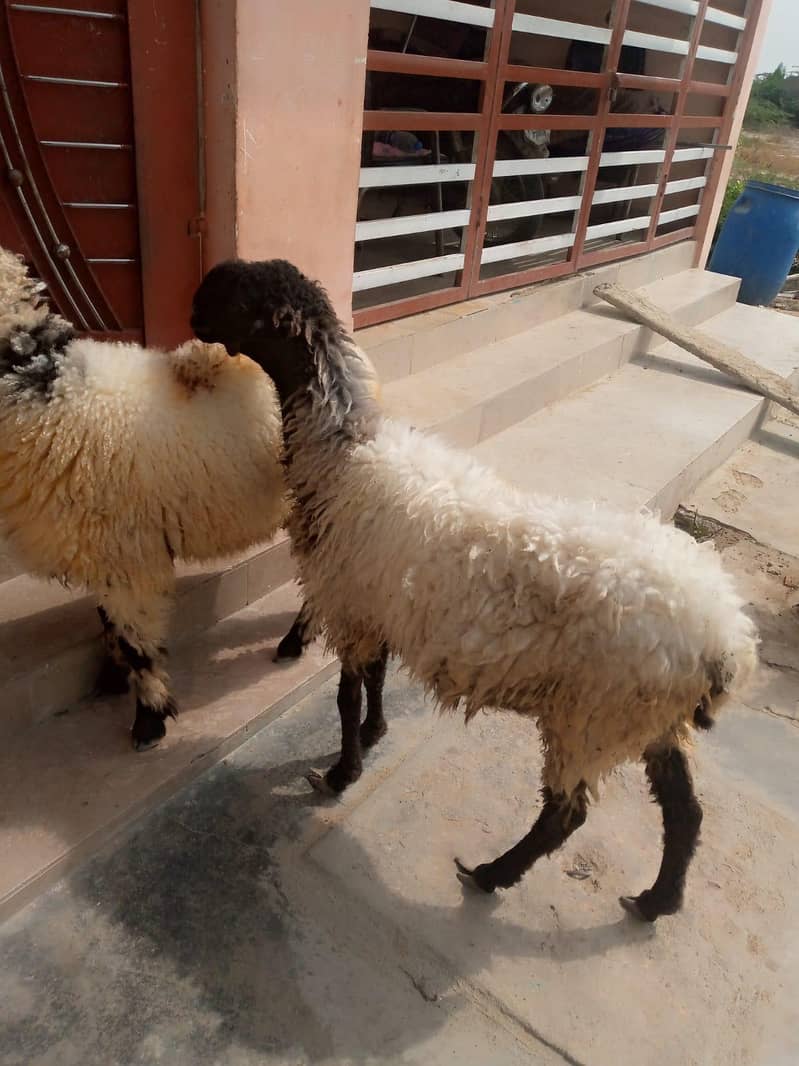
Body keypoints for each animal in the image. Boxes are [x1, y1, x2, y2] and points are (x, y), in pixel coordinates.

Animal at [0, 248, 313, 750]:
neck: (54, 393)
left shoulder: (128, 557)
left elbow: (135, 641)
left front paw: (149, 719)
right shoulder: (107, 549)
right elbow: (108, 622)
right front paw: (112, 679)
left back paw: (295, 641)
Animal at [190, 257, 759, 923]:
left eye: (234, 300)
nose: (190, 318)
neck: (346, 450)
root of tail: (726, 639)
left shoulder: (351, 603)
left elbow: (346, 697)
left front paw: (341, 773)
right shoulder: (380, 604)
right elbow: (376, 681)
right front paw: (376, 736)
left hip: (593, 715)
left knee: (567, 814)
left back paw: (491, 875)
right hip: (648, 718)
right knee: (685, 809)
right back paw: (656, 901)